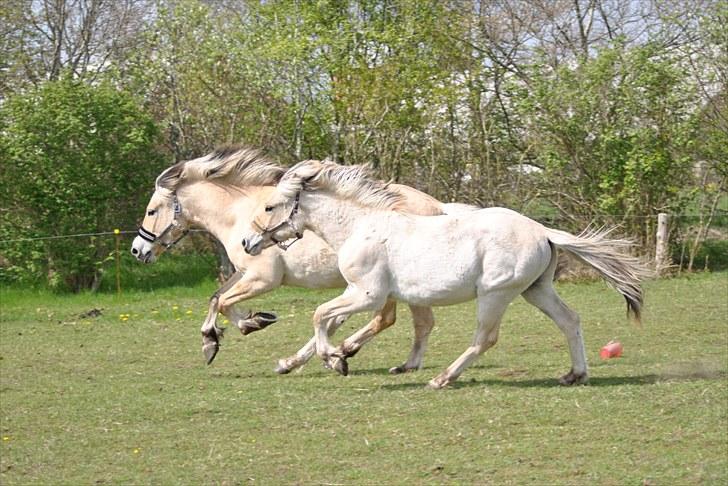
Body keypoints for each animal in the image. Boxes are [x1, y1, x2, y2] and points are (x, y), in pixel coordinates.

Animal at [132, 146, 472, 374]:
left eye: (151, 211)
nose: (138, 250)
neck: (238, 214)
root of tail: (438, 207)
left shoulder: (263, 279)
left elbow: (226, 303)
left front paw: (251, 323)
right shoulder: (244, 273)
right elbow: (216, 298)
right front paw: (211, 341)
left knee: (385, 319)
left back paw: (341, 353)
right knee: (403, 321)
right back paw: (306, 359)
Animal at [245, 161, 648, 390]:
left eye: (269, 207)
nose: (248, 242)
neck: (361, 227)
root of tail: (543, 231)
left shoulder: (367, 295)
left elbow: (319, 317)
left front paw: (336, 359)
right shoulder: (360, 294)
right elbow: (327, 321)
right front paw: (326, 358)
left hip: (495, 295)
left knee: (485, 339)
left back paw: (441, 379)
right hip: (536, 290)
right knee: (570, 320)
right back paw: (574, 375)